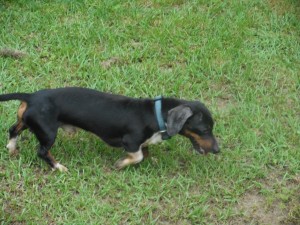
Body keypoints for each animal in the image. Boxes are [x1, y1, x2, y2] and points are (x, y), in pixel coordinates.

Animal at [0, 87, 220, 171]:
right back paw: (58, 167)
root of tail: (31, 96)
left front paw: (152, 160)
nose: (218, 150)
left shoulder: (143, 141)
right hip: (48, 133)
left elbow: (146, 151)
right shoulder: (130, 141)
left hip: (27, 121)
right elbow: (137, 155)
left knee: (13, 130)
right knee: (42, 152)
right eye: (204, 129)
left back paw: (11, 148)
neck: (155, 113)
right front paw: (121, 163)